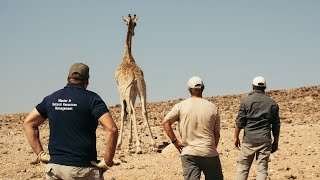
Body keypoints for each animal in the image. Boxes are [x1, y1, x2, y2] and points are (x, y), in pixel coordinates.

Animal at [115, 14, 156, 154]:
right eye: (133, 24)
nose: (133, 32)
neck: (127, 56)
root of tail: (134, 77)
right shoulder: (133, 94)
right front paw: (129, 141)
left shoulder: (120, 91)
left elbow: (123, 113)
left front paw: (121, 143)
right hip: (143, 89)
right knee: (144, 110)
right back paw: (153, 143)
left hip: (128, 92)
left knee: (131, 111)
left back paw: (139, 146)